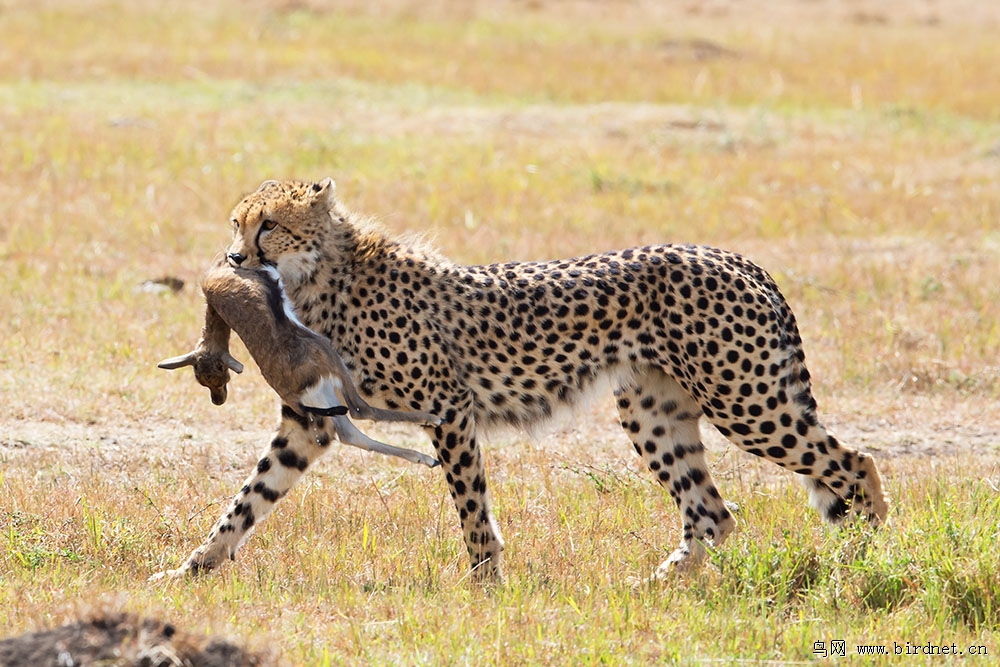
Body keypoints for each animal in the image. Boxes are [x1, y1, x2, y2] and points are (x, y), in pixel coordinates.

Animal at [154, 180, 884, 580]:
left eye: (269, 226)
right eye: (236, 222)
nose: (232, 259)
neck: (323, 275)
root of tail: (735, 257)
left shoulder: (448, 406)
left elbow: (470, 502)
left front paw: (485, 583)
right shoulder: (310, 421)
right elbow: (247, 498)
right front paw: (190, 570)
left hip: (744, 398)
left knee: (854, 462)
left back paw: (867, 561)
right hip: (655, 411)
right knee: (714, 511)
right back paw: (657, 585)